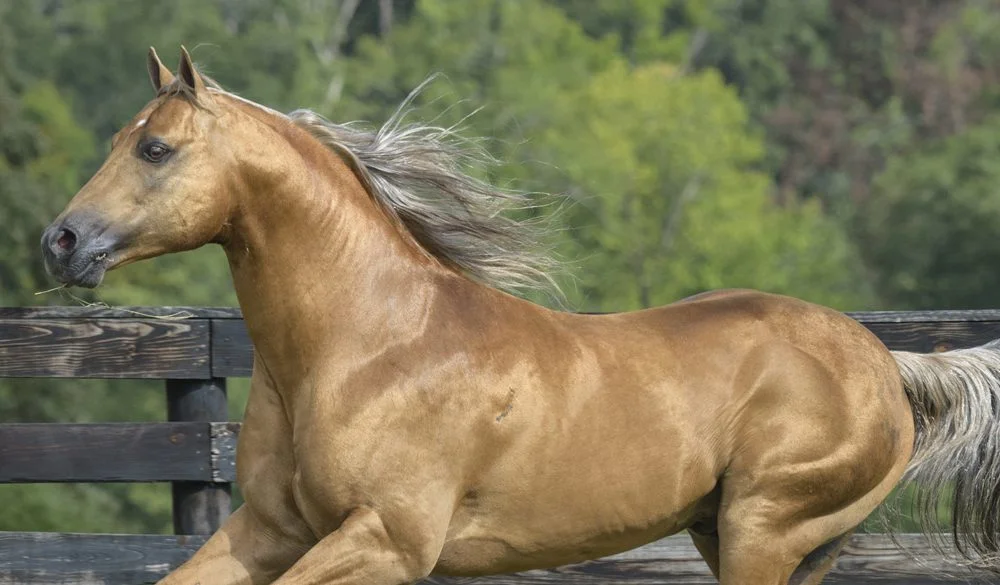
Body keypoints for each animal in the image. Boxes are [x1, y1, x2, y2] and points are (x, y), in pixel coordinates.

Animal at [40, 47, 1000, 585]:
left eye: (155, 147)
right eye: (119, 138)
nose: (60, 240)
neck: (367, 345)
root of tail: (889, 364)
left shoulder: (389, 540)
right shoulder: (271, 530)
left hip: (764, 527)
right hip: (739, 535)